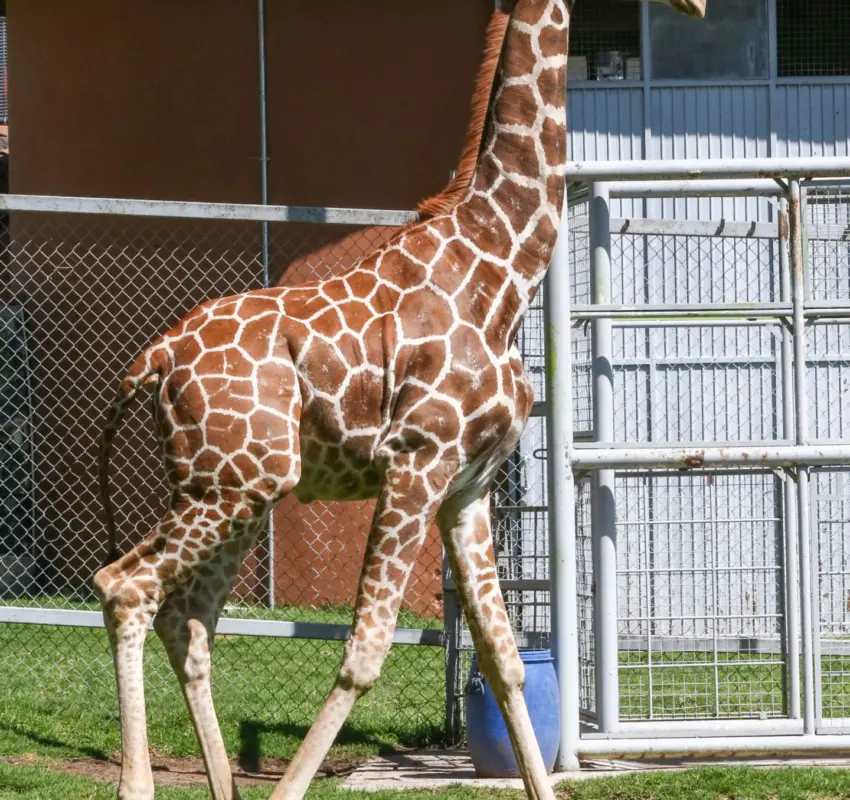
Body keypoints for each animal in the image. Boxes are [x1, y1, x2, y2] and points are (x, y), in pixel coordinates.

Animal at [93, 1, 706, 798]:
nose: (699, 9)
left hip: (238, 488)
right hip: (228, 485)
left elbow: (505, 663)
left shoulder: (467, 488)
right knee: (125, 587)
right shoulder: (416, 464)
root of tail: (158, 356)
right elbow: (364, 653)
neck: (501, 271)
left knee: (189, 620)